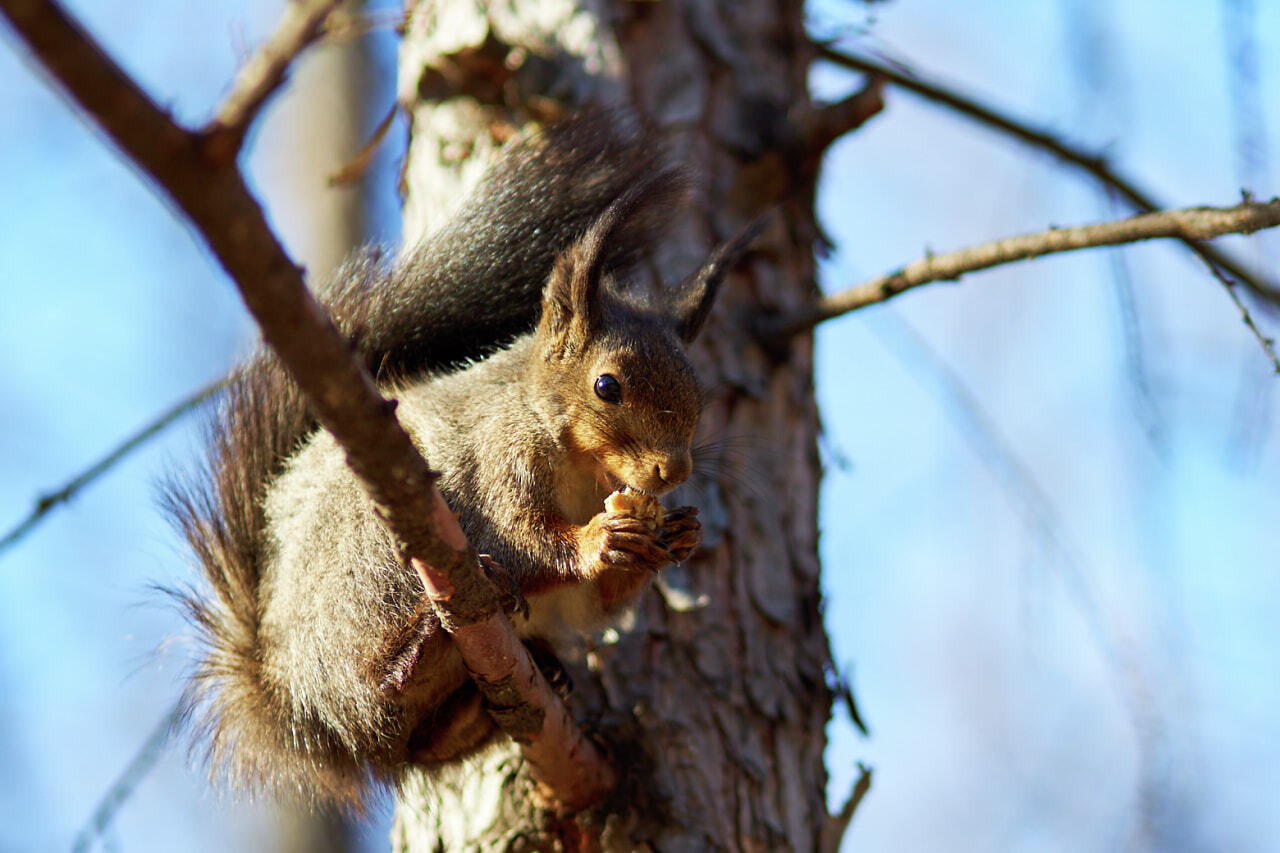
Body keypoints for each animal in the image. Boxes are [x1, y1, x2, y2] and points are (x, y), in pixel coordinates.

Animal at [162, 111, 757, 804]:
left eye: (699, 394)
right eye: (606, 386)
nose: (674, 472)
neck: (582, 471)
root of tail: (296, 705)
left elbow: (595, 603)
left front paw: (679, 535)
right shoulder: (499, 458)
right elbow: (523, 539)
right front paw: (599, 539)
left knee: (425, 739)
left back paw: (524, 681)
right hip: (369, 567)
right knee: (378, 689)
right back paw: (418, 649)